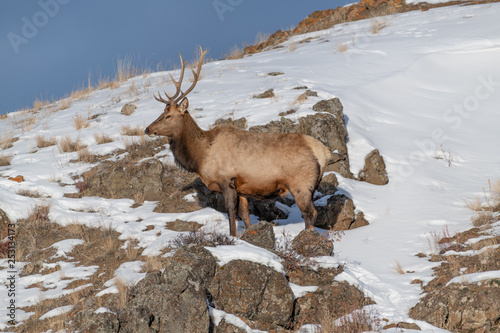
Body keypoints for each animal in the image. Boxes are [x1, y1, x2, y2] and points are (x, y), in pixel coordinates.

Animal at [146, 46, 330, 236]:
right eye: (162, 113)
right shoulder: (241, 187)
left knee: (310, 213)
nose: (148, 129)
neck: (201, 156)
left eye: (168, 115)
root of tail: (324, 153)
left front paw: (233, 236)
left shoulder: (226, 179)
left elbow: (230, 211)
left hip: (301, 184)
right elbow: (244, 213)